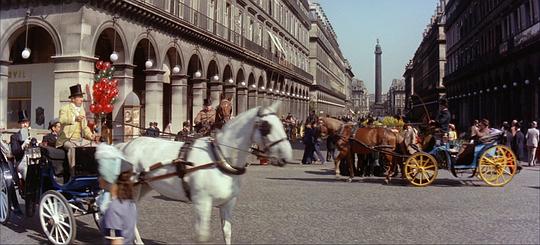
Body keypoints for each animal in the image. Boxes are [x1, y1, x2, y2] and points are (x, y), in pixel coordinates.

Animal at [117, 102, 292, 244]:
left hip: (144, 185)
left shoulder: (228, 203)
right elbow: (202, 236)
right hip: (132, 186)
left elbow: (227, 232)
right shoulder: (203, 203)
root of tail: (127, 144)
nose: (286, 156)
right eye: (266, 127)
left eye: (282, 124)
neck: (220, 157)